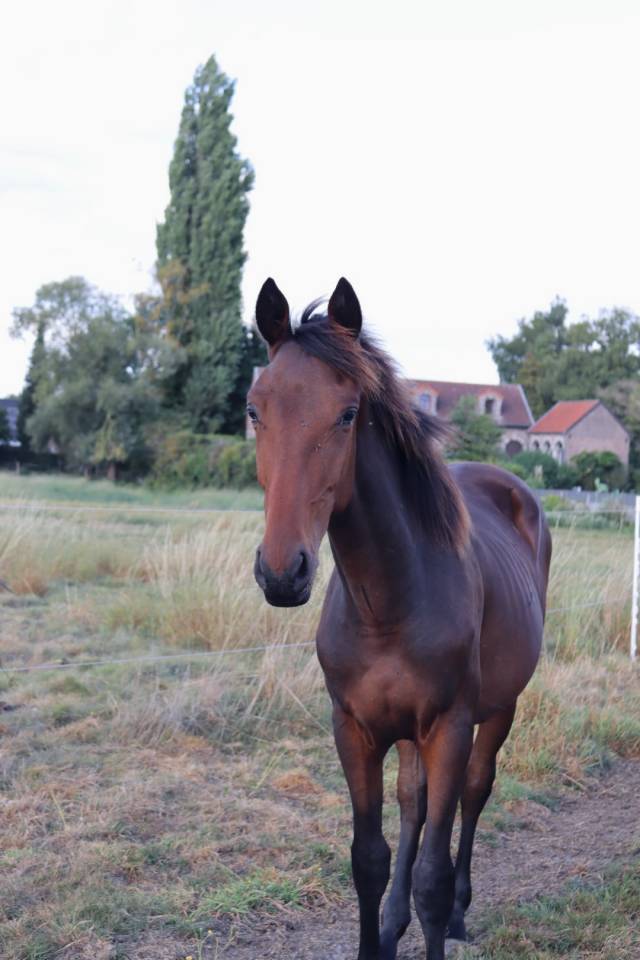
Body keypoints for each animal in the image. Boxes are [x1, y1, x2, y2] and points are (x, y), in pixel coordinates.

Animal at [248, 277, 551, 960]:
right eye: (254, 410)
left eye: (347, 413)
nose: (282, 572)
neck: (387, 604)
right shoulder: (354, 730)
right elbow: (370, 856)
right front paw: (377, 930)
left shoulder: (449, 726)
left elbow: (433, 874)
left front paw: (439, 911)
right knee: (414, 804)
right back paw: (392, 922)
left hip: (498, 710)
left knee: (474, 793)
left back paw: (461, 913)